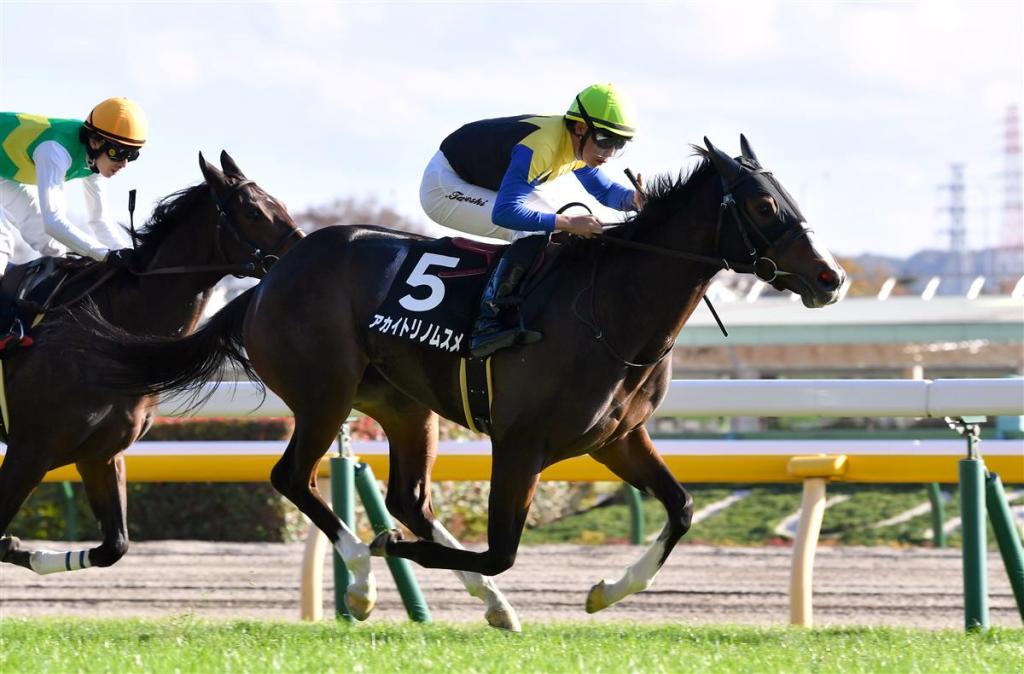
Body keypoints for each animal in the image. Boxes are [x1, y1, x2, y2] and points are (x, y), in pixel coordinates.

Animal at [0, 152, 302, 579]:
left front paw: (26, 552)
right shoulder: (29, 451)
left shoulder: (100, 454)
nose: (305, 253)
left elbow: (115, 546)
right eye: (253, 211)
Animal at [72, 136, 846, 630]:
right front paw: (388, 557)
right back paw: (364, 575)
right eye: (764, 207)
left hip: (404, 406)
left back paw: (480, 602)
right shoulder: (521, 442)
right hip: (325, 394)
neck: (613, 307)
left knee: (407, 500)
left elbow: (681, 508)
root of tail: (268, 280)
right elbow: (503, 549)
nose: (831, 277)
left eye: (785, 197)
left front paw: (604, 592)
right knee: (295, 477)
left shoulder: (617, 437)